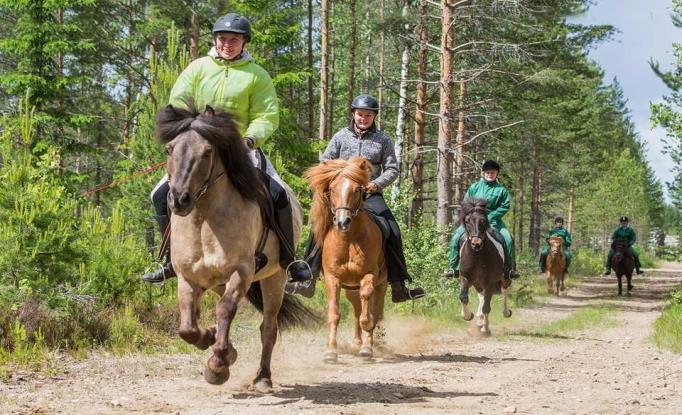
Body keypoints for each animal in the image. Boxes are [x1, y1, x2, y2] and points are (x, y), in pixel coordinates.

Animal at [155, 105, 314, 392]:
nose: (179, 200)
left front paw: (217, 365)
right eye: (169, 149)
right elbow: (188, 326)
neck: (205, 219)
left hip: (274, 279)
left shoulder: (242, 271)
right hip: (218, 281)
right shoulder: (188, 277)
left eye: (207, 151)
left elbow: (226, 309)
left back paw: (262, 377)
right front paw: (210, 339)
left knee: (268, 328)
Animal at [304, 158, 388, 362]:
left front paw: (367, 346)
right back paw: (357, 342)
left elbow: (368, 314)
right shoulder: (332, 278)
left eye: (357, 189)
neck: (349, 239)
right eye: (332, 189)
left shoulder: (369, 275)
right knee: (357, 308)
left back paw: (369, 345)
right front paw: (330, 352)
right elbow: (335, 314)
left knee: (375, 310)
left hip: (381, 285)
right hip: (350, 288)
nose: (342, 222)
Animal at [456, 197, 510, 334]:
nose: (476, 244)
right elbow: (463, 297)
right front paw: (468, 315)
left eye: (483, 221)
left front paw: (485, 329)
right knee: (481, 295)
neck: (478, 256)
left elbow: (487, 306)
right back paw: (479, 319)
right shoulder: (465, 277)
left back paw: (505, 312)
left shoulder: (490, 282)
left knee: (504, 290)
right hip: (477, 282)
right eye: (467, 221)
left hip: (504, 277)